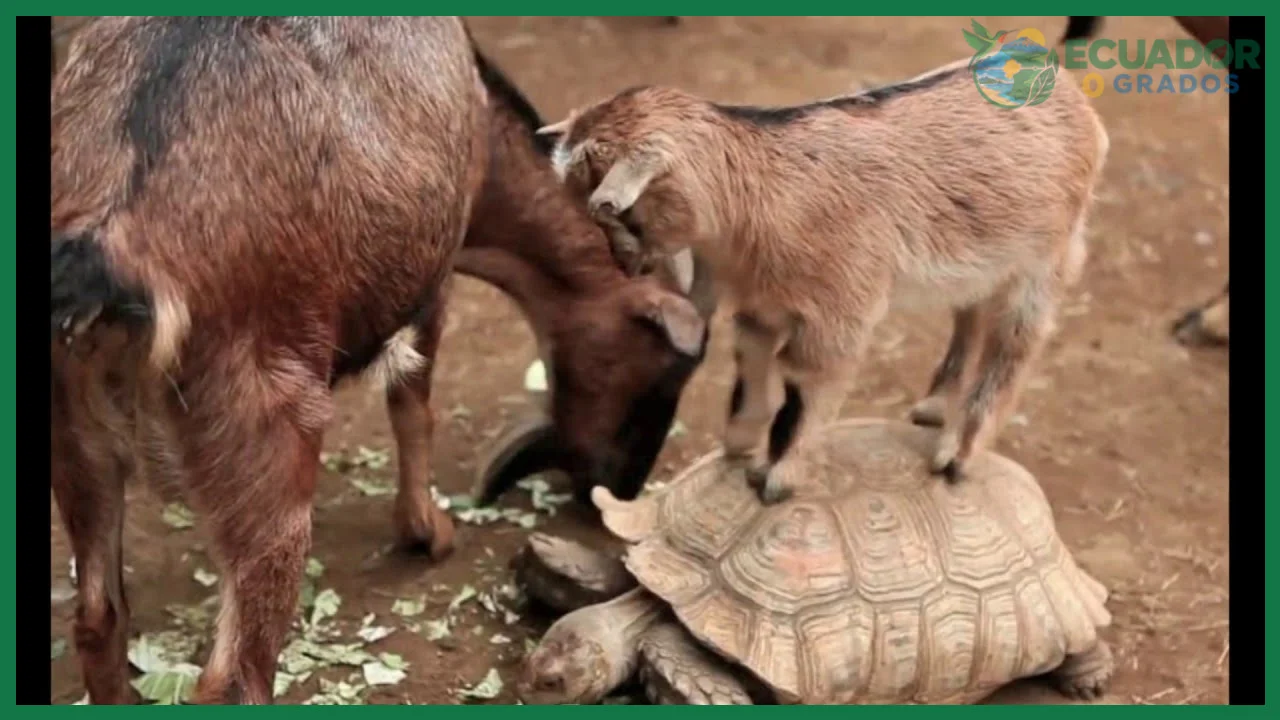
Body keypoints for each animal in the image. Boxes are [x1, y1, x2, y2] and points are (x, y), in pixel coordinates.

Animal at [51, 17, 488, 703]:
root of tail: (107, 243)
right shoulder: (434, 279)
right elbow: (413, 401)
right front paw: (427, 531)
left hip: (72, 431)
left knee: (99, 616)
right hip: (265, 428)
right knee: (235, 673)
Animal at [538, 57, 1108, 504]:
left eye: (616, 211)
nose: (626, 264)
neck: (759, 193)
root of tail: (1076, 101)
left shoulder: (838, 311)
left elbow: (804, 384)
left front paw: (776, 479)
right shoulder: (763, 302)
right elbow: (749, 359)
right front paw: (739, 440)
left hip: (1044, 259)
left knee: (1015, 343)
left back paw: (958, 454)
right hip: (984, 260)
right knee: (969, 313)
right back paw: (933, 409)